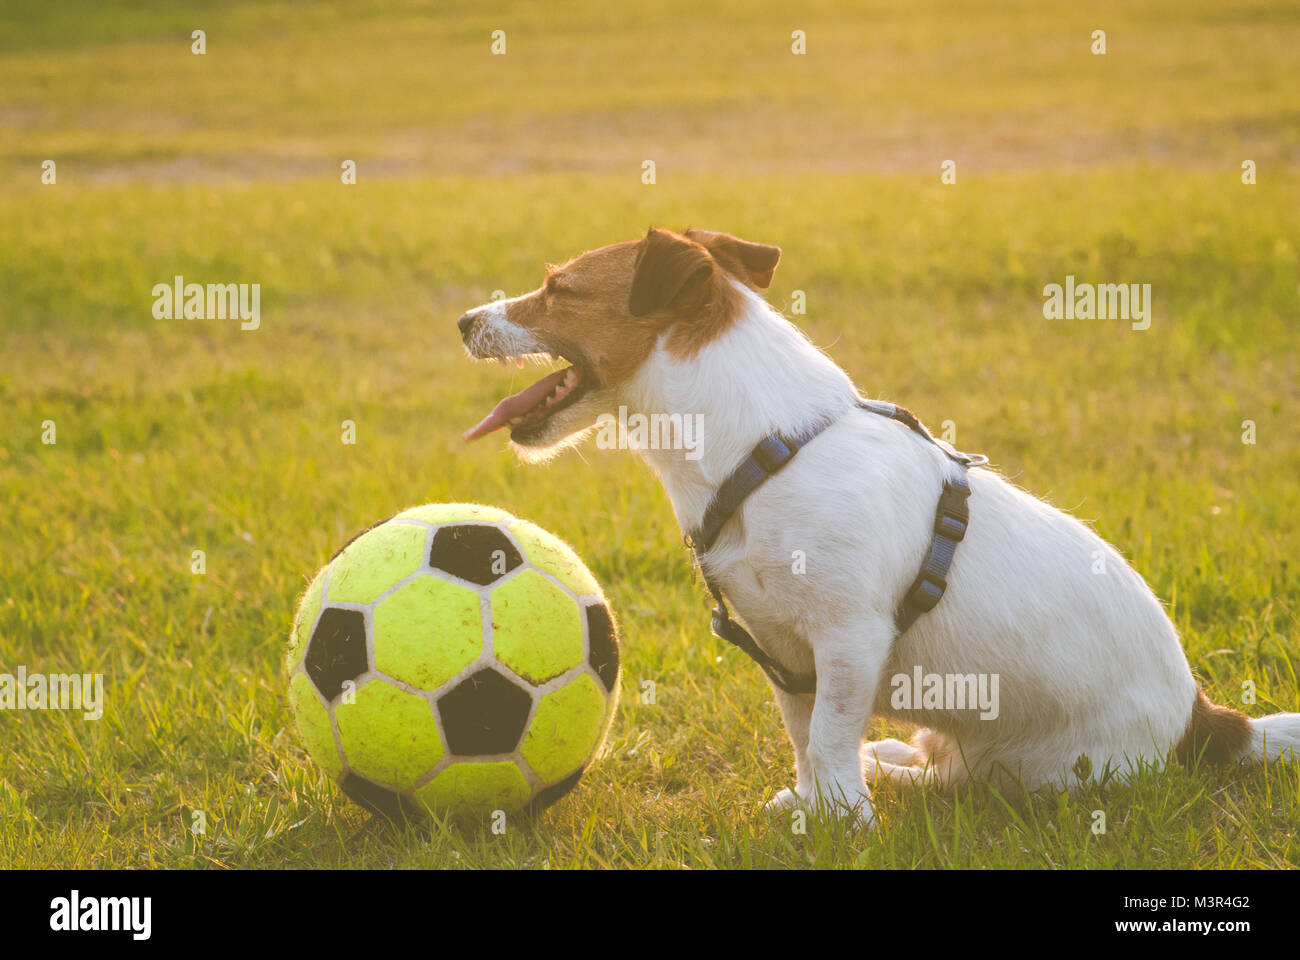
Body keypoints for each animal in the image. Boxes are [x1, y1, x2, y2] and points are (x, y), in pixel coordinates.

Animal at [454, 223, 1300, 822]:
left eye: (557, 288)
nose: (463, 320)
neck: (759, 449)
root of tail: (1207, 720)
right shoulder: (784, 652)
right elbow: (806, 736)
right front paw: (813, 803)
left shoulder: (847, 639)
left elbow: (830, 733)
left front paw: (840, 820)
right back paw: (887, 757)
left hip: (1039, 775)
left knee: (959, 788)